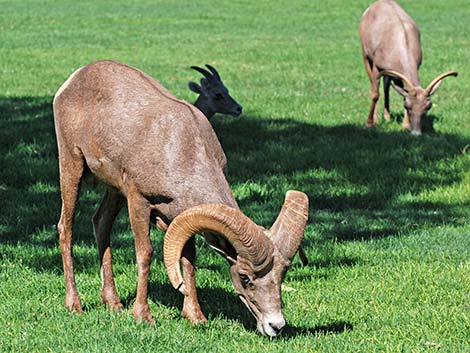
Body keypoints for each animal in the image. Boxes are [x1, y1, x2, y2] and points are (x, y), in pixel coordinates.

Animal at [53, 59, 308, 336]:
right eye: (245, 277)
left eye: (282, 275)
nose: (275, 326)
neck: (182, 150)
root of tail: (73, 80)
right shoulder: (138, 200)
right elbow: (145, 254)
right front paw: (143, 316)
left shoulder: (180, 217)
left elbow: (188, 261)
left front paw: (196, 317)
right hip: (72, 166)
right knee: (65, 229)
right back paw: (74, 305)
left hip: (113, 190)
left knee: (101, 224)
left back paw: (114, 304)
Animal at [360, 0, 456, 135]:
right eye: (407, 106)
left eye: (428, 106)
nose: (416, 132)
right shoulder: (377, 67)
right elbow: (375, 94)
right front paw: (369, 124)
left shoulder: (408, 68)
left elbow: (403, 91)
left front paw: (405, 126)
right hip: (365, 54)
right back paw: (377, 119)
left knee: (386, 85)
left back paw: (387, 117)